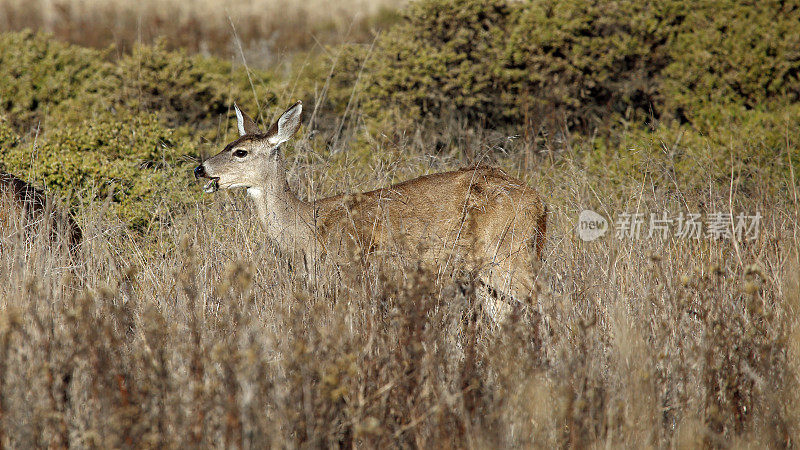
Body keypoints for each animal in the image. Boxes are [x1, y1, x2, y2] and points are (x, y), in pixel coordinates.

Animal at [195, 103, 548, 316]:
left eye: (240, 152)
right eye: (228, 145)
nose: (200, 169)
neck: (306, 228)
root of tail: (539, 202)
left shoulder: (353, 273)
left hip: (509, 254)